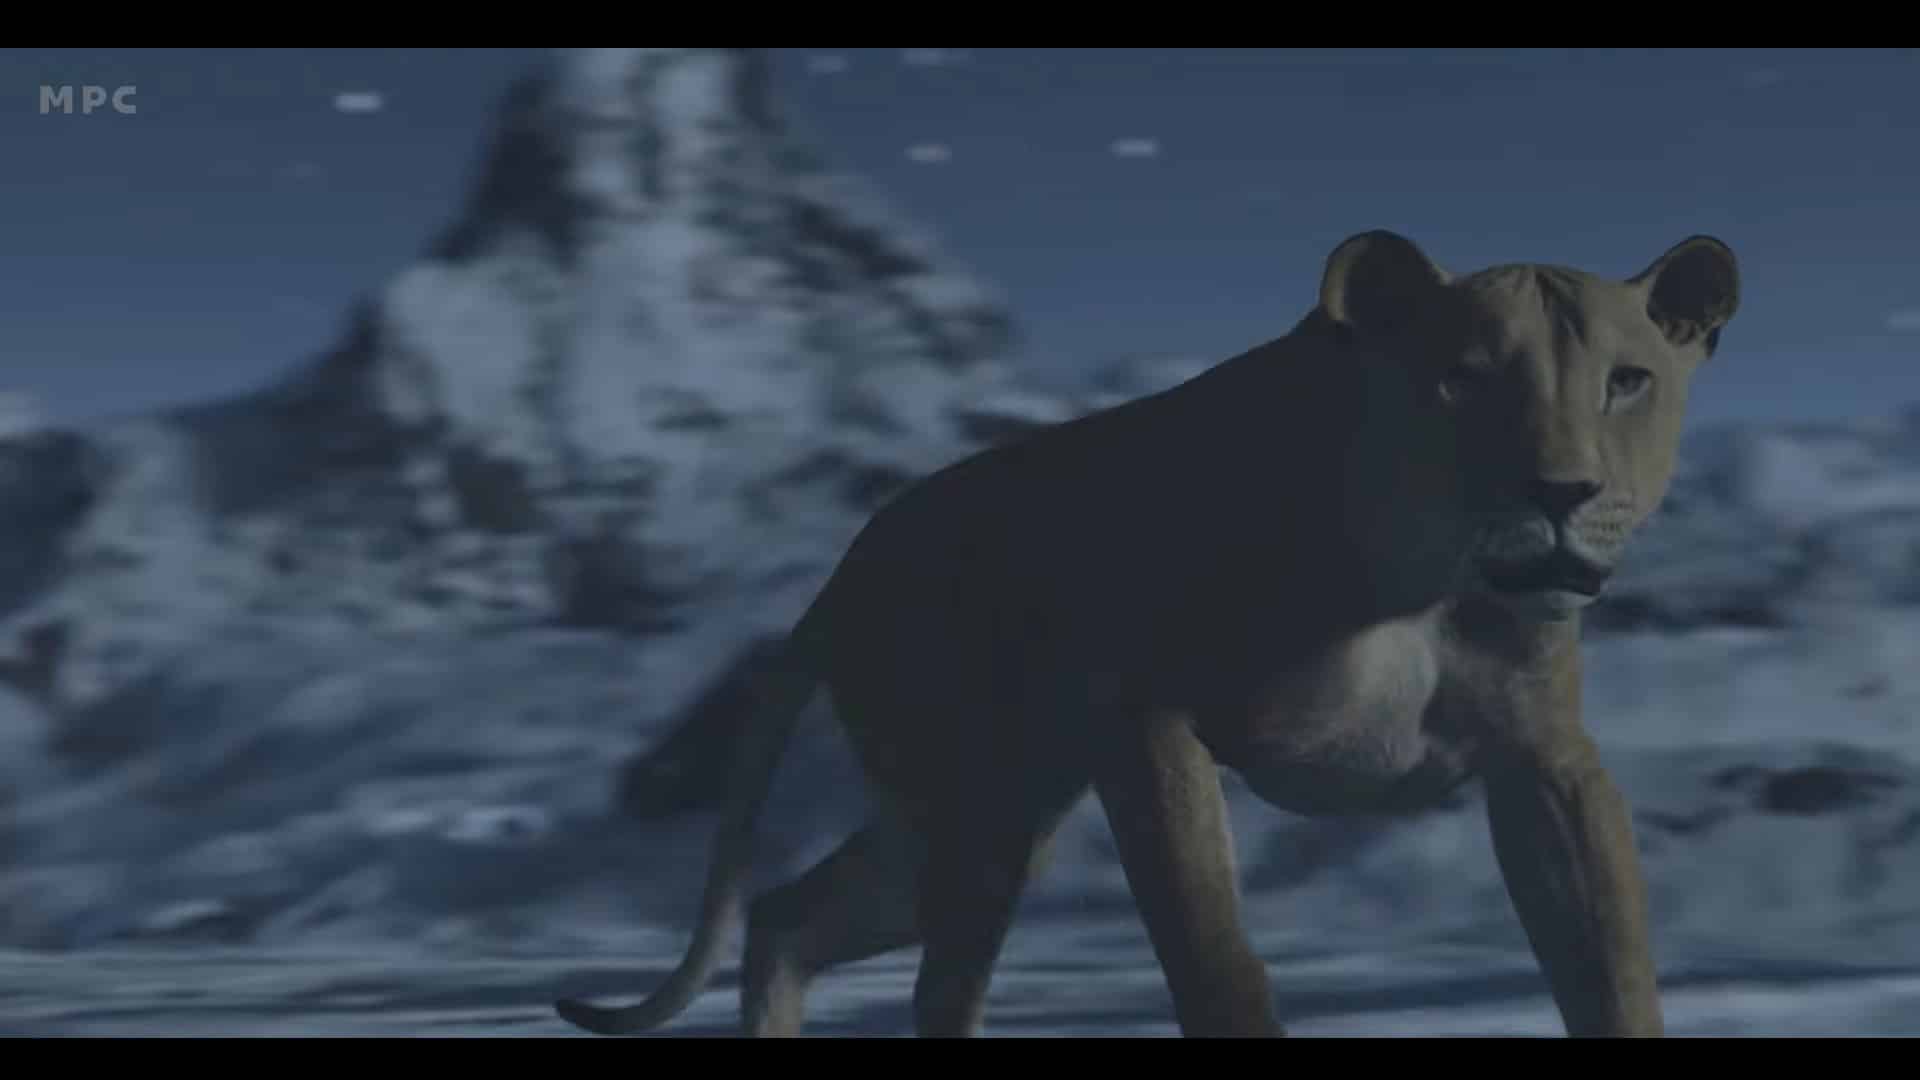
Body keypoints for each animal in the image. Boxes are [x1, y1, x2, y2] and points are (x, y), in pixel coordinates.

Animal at [554, 230, 1740, 1037]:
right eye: (1463, 379)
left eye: (1627, 382)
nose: (1561, 492)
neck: (1426, 577)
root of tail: (853, 559)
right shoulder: (1150, 722)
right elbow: (1214, 956)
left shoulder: (1546, 759)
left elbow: (1611, 965)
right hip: (976, 811)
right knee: (930, 986)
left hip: (967, 812)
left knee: (785, 917)